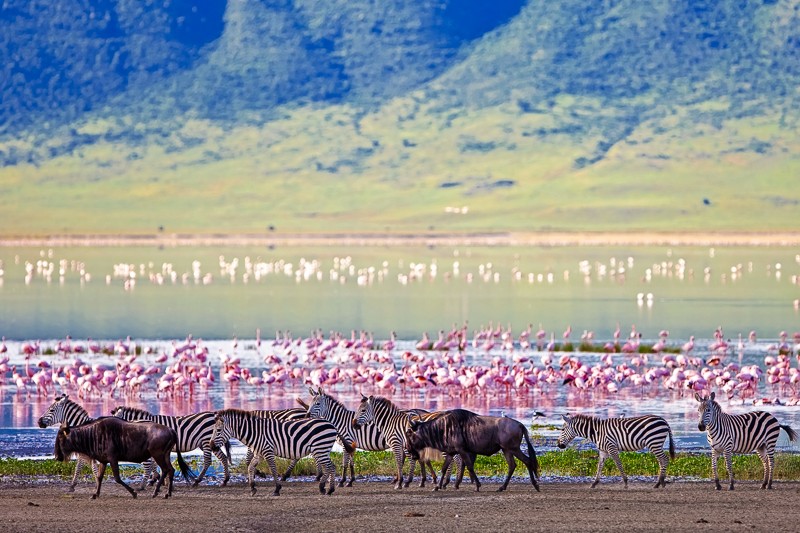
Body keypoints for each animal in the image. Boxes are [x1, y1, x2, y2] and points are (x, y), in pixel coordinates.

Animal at [208, 410, 336, 496]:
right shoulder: (259, 454)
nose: (211, 446)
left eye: (218, 430)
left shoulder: (268, 451)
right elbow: (250, 467)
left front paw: (277, 489)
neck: (255, 432)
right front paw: (252, 488)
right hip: (321, 450)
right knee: (331, 467)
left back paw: (327, 489)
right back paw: (325, 488)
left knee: (330, 467)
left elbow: (273, 469)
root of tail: (330, 424)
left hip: (320, 449)